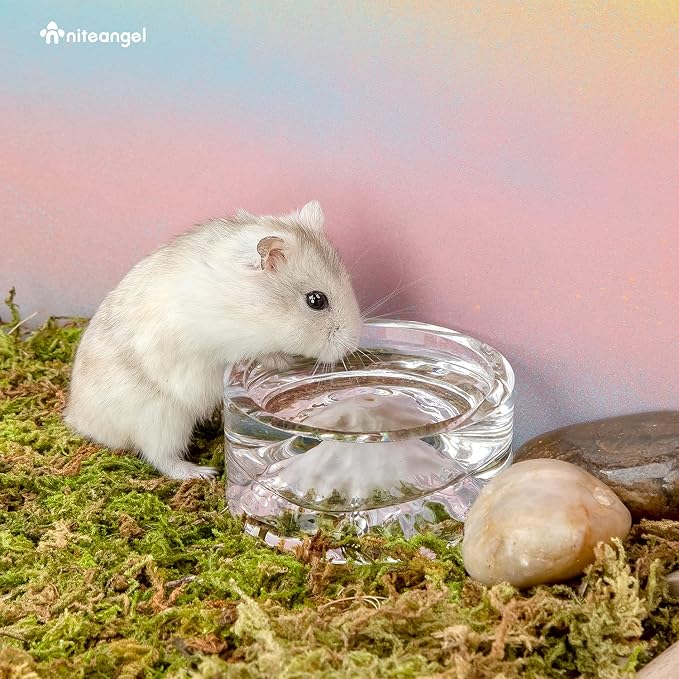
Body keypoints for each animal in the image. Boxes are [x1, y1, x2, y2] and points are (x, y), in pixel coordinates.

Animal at [64, 201, 363, 480]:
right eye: (316, 300)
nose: (352, 345)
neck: (247, 302)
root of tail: (77, 418)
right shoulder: (219, 342)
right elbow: (255, 353)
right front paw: (284, 361)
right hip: (161, 419)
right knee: (160, 457)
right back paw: (202, 473)